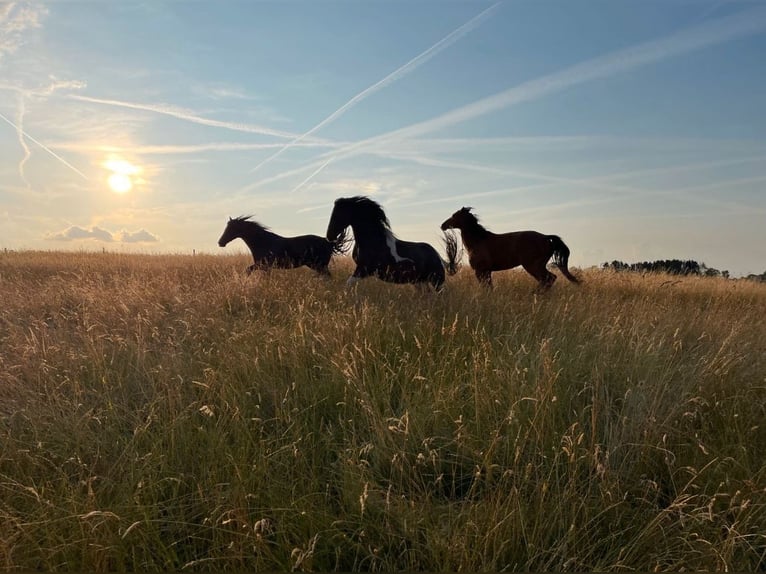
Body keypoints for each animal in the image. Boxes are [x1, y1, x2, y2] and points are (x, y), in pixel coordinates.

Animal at [216, 217, 348, 278]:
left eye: (230, 229)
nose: (220, 242)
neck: (263, 242)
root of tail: (329, 243)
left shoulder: (263, 265)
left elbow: (248, 270)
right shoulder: (265, 267)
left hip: (319, 265)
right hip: (317, 265)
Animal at [324, 196, 456, 290]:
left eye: (338, 214)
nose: (329, 236)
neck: (374, 241)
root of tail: (440, 258)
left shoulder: (363, 269)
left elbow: (348, 284)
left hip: (436, 280)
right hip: (420, 281)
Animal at [440, 207, 580, 290]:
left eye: (454, 215)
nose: (443, 225)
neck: (478, 241)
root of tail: (546, 237)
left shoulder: (481, 270)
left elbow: (486, 287)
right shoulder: (487, 271)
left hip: (533, 266)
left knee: (548, 279)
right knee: (549, 279)